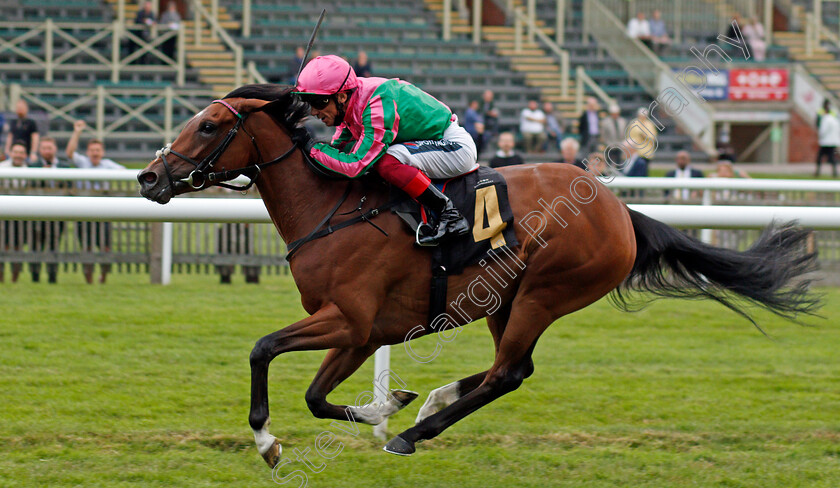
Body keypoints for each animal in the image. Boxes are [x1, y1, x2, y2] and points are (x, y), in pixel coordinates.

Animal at [139, 86, 820, 468]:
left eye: (207, 125)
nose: (149, 177)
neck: (330, 208)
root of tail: (617, 208)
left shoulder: (348, 319)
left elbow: (262, 350)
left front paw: (267, 442)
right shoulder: (360, 332)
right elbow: (315, 396)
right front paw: (387, 401)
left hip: (545, 291)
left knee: (508, 372)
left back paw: (415, 433)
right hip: (503, 298)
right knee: (508, 367)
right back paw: (431, 402)